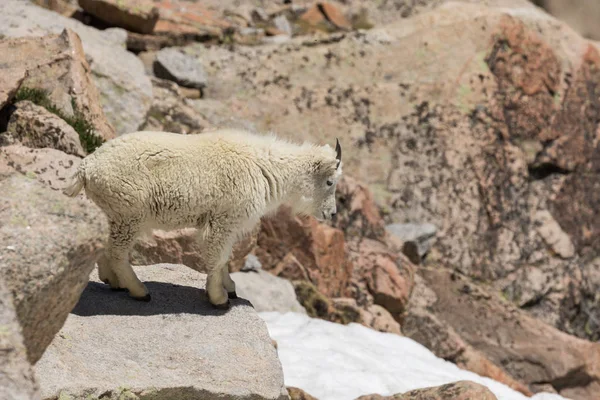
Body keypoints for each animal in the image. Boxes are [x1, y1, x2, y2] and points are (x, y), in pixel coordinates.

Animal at [63, 129, 344, 310]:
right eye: (330, 182)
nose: (331, 214)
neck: (266, 168)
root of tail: (86, 167)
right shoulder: (224, 220)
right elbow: (217, 257)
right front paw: (219, 298)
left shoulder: (226, 223)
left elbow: (226, 258)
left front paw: (229, 287)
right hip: (128, 214)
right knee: (118, 253)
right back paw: (139, 291)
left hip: (112, 212)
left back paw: (113, 282)